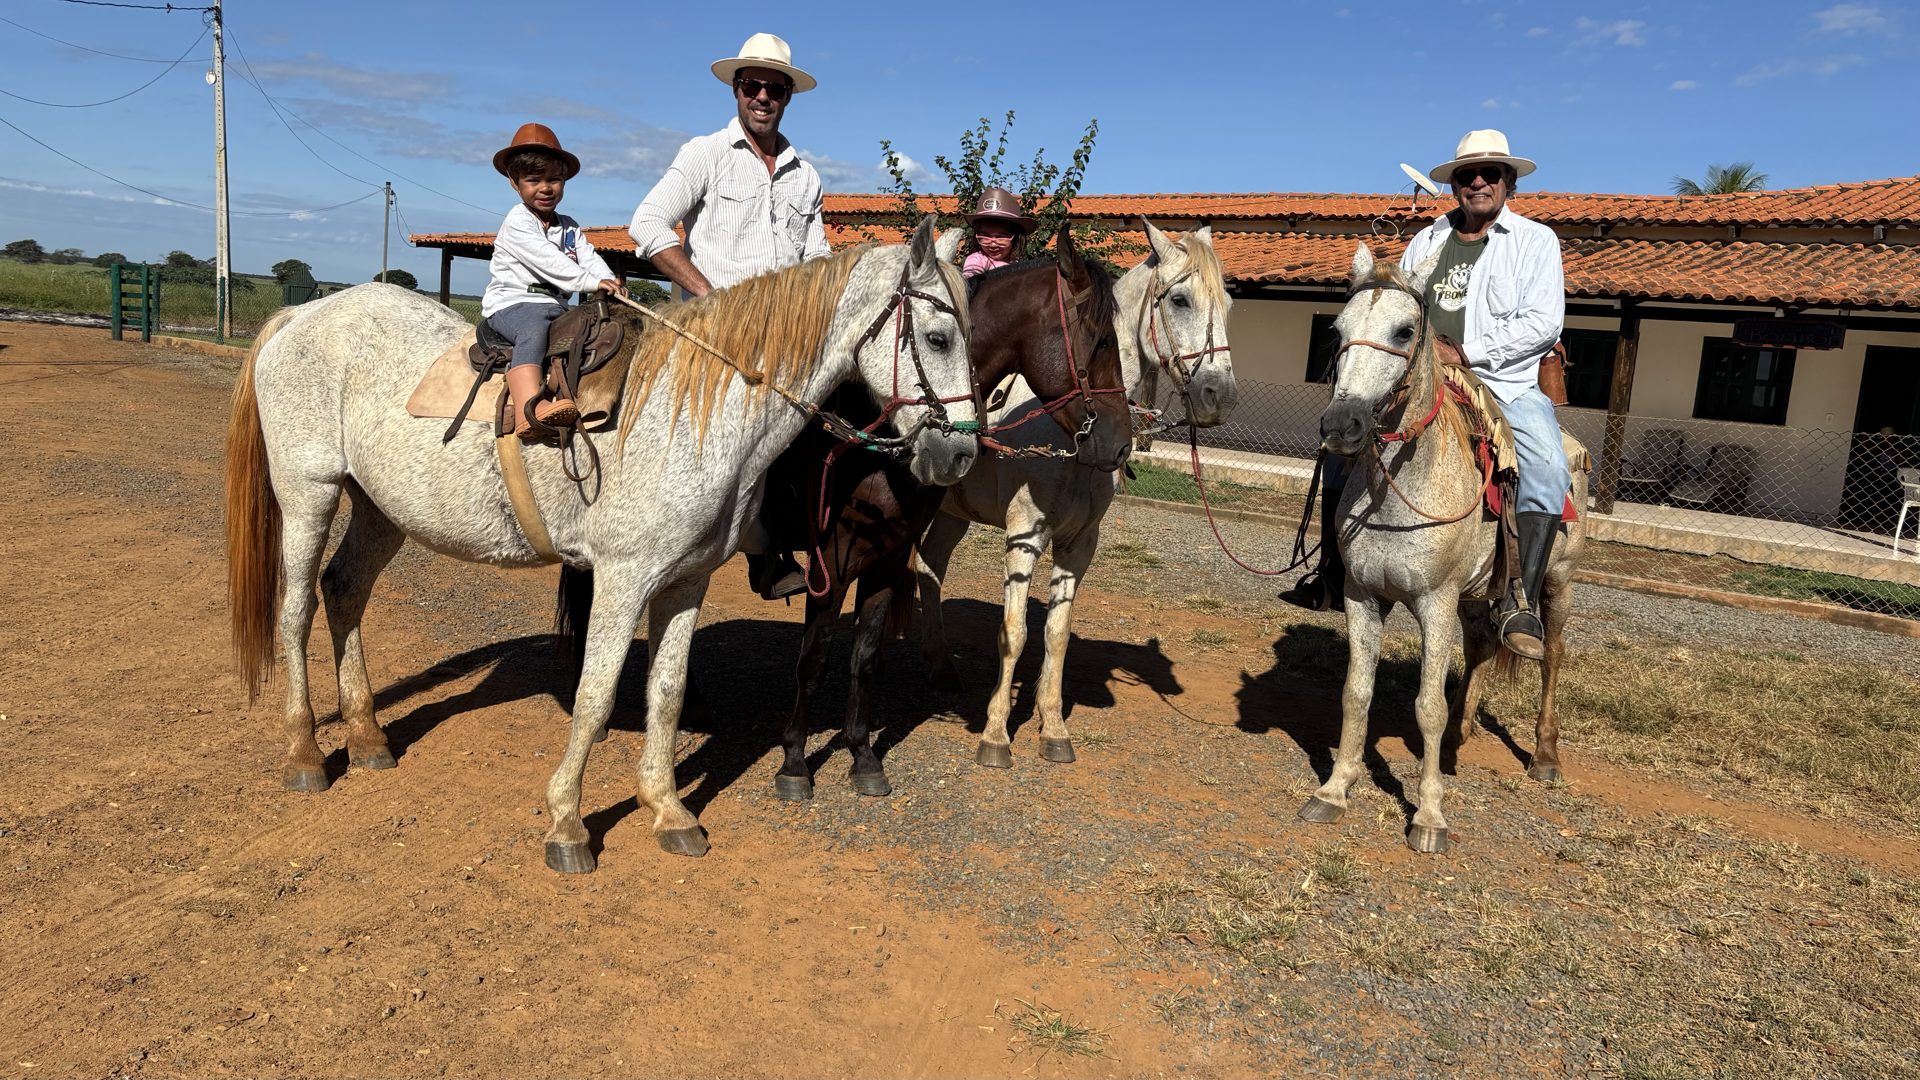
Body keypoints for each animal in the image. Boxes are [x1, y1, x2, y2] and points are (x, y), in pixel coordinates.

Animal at [225, 218, 978, 873]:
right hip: (310, 494)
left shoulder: (685, 583)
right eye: (938, 337)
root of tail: (301, 316)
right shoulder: (622, 579)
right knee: (296, 611)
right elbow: (595, 696)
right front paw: (567, 823)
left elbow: (666, 693)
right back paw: (305, 754)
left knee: (344, 592)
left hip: (381, 510)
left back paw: (369, 737)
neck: (696, 410)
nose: (960, 455)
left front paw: (669, 811)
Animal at [766, 227, 1128, 800]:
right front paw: (795, 763)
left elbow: (864, 656)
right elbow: (814, 659)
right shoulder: (831, 559)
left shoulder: (888, 552)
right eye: (1101, 342)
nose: (1120, 444)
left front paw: (863, 756)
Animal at [912, 221, 1239, 767]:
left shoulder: (1079, 542)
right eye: (1179, 300)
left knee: (929, 566)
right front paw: (996, 734)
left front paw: (1053, 727)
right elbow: (1015, 632)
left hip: (953, 513)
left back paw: (938, 666)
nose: (1222, 397)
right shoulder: (1024, 535)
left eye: (1229, 303)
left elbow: (1057, 633)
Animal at [1297, 241, 1587, 853]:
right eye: (1337, 330)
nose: (1342, 424)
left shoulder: (1434, 603)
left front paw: (1429, 816)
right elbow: (1356, 693)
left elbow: (1425, 706)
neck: (1399, 489)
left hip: (1558, 584)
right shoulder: (1362, 598)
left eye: (1405, 330)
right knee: (1480, 649)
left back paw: (1545, 755)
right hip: (1478, 596)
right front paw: (1334, 789)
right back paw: (1459, 734)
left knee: (1552, 656)